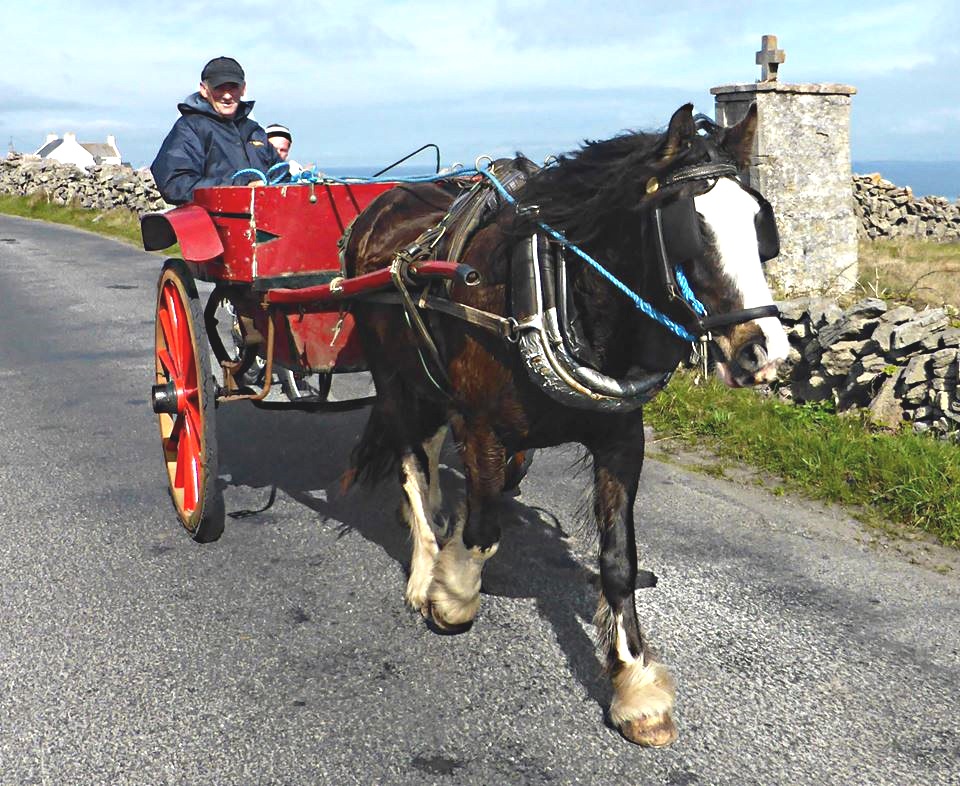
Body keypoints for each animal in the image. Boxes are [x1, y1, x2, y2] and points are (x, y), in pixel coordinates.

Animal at [338, 105, 788, 748]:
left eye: (758, 223)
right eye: (690, 225)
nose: (766, 351)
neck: (550, 296)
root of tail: (387, 201)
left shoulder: (622, 437)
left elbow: (619, 559)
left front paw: (635, 686)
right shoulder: (480, 426)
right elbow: (482, 527)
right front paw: (450, 593)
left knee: (425, 447)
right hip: (394, 375)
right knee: (411, 459)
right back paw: (424, 562)